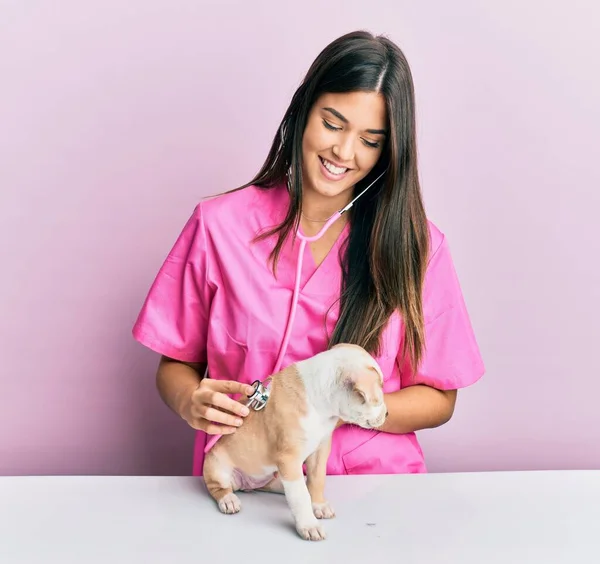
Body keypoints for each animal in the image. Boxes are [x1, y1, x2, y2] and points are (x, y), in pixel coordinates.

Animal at [204, 344, 386, 540]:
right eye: (378, 396)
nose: (387, 413)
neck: (319, 401)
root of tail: (247, 484)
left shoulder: (319, 451)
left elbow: (317, 479)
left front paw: (318, 504)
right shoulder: (289, 459)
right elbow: (300, 497)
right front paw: (309, 525)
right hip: (217, 467)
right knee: (218, 488)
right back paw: (228, 500)